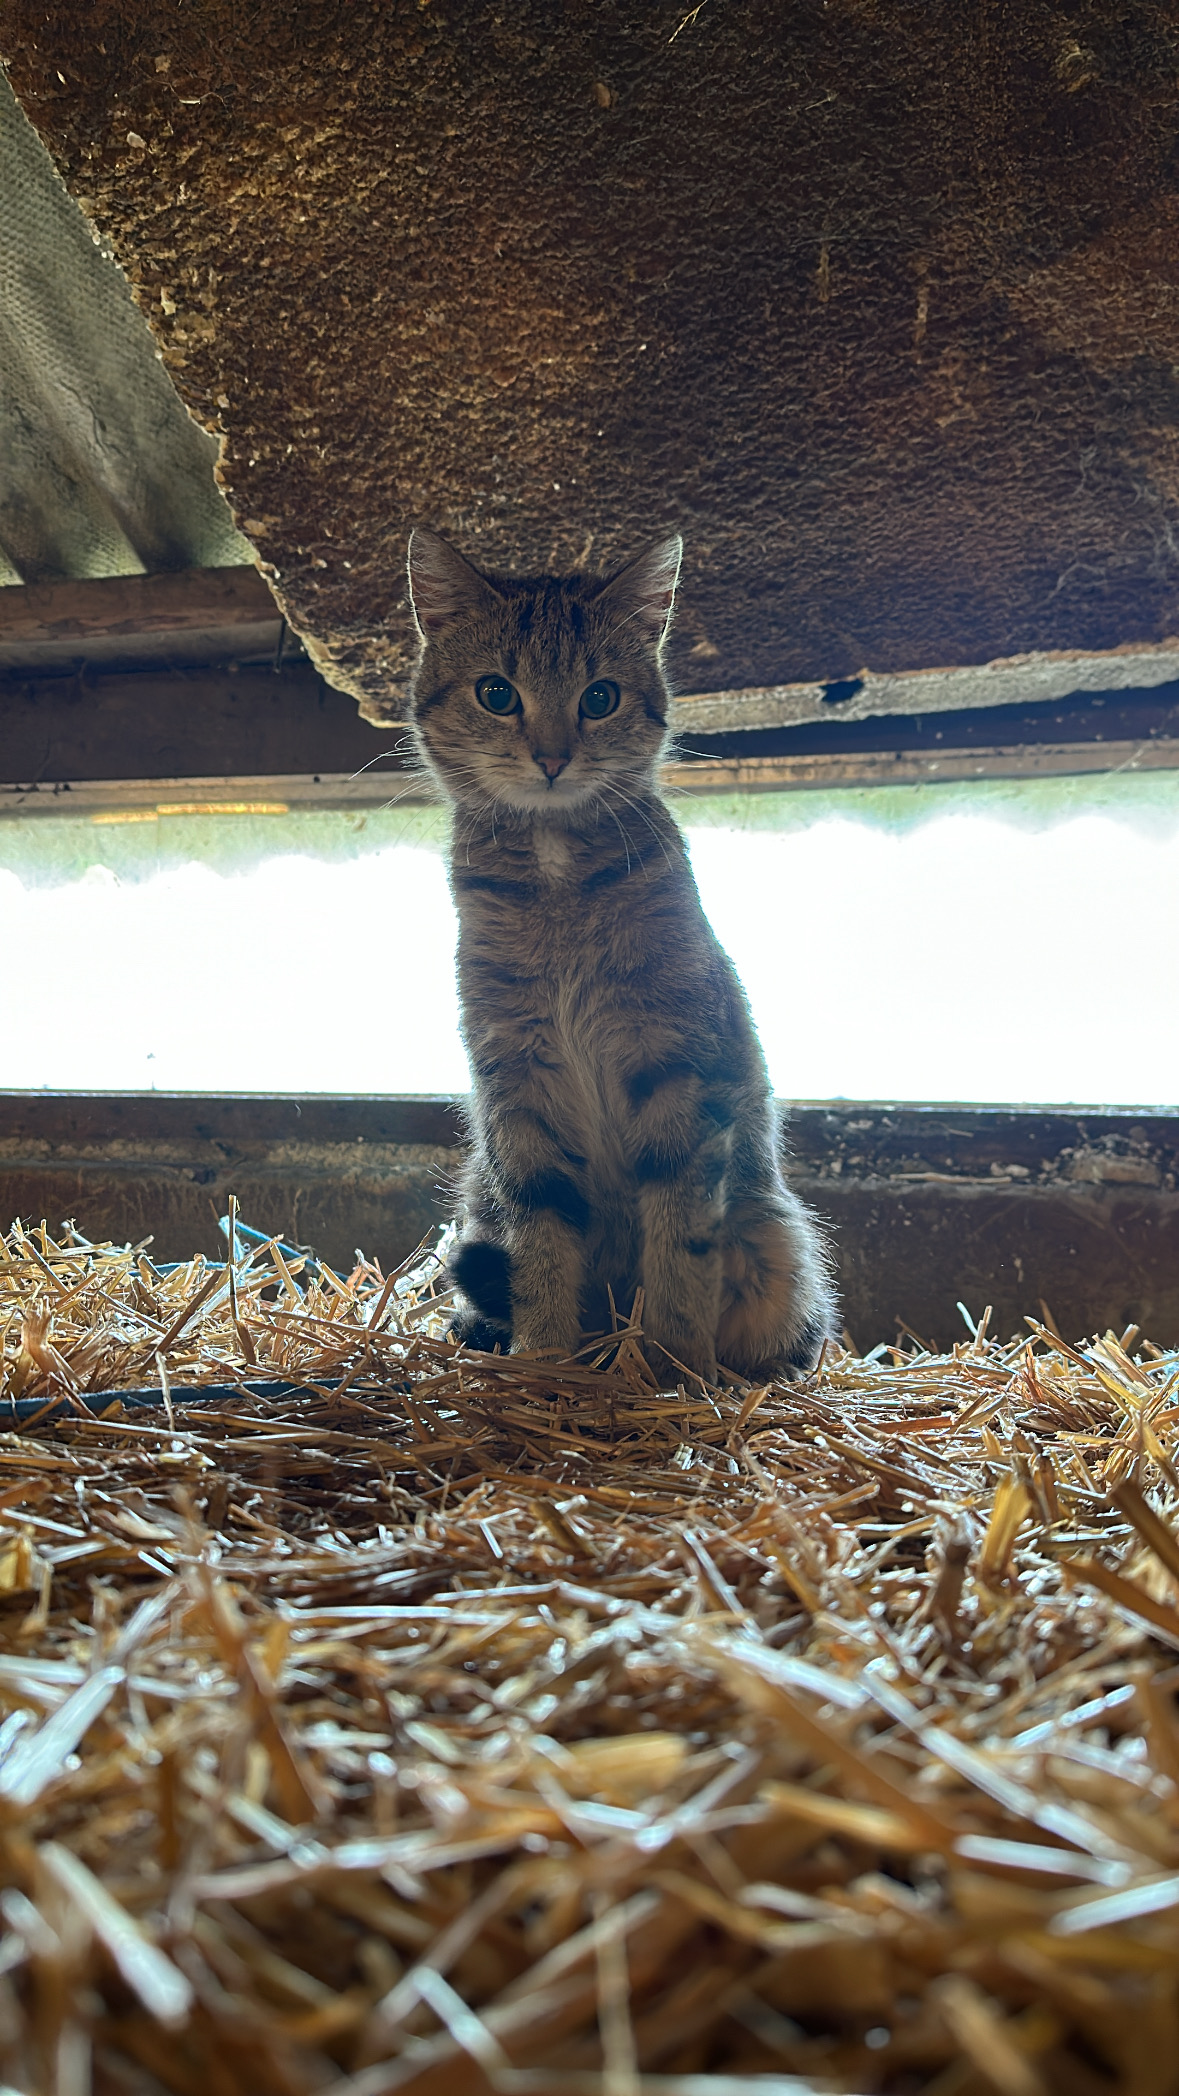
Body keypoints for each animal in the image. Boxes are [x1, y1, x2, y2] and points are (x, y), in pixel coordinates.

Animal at [409, 524, 830, 1383]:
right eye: (496, 693)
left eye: (597, 697)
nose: (551, 757)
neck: (556, 881)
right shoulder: (517, 1080)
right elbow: (539, 1241)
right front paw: (542, 1362)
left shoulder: (676, 1070)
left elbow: (681, 1241)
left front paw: (669, 1367)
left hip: (781, 1243)